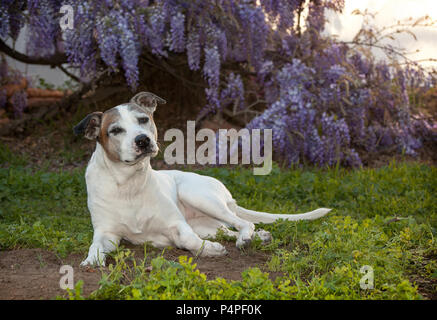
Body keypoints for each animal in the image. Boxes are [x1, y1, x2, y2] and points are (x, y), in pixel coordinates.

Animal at [73, 91, 328, 266]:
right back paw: (259, 236)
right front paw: (91, 261)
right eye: (115, 130)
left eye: (143, 120)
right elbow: (95, 247)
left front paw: (209, 250)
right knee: (230, 229)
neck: (129, 183)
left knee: (244, 223)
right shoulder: (106, 233)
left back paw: (246, 239)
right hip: (205, 223)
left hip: (198, 196)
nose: (143, 140)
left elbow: (188, 241)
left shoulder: (177, 224)